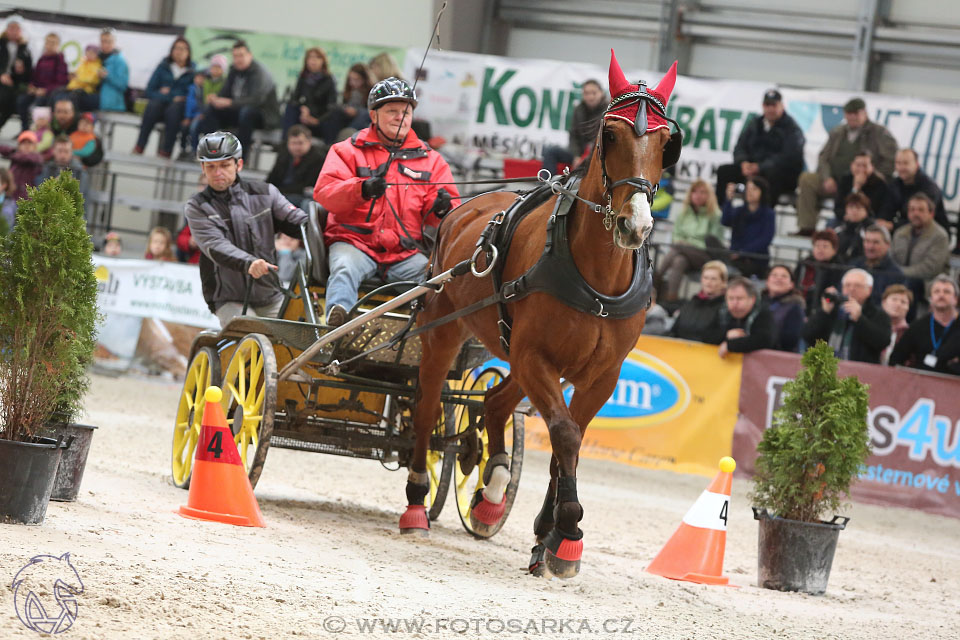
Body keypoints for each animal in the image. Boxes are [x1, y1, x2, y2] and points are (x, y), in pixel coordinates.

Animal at [398, 52, 684, 576]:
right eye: (610, 135)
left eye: (664, 142)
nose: (635, 225)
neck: (597, 276)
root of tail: (462, 208)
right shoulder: (536, 358)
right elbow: (566, 435)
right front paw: (568, 530)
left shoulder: (601, 374)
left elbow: (567, 440)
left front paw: (547, 536)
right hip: (446, 333)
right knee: (427, 408)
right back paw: (417, 500)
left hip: (524, 357)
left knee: (495, 404)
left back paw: (490, 491)